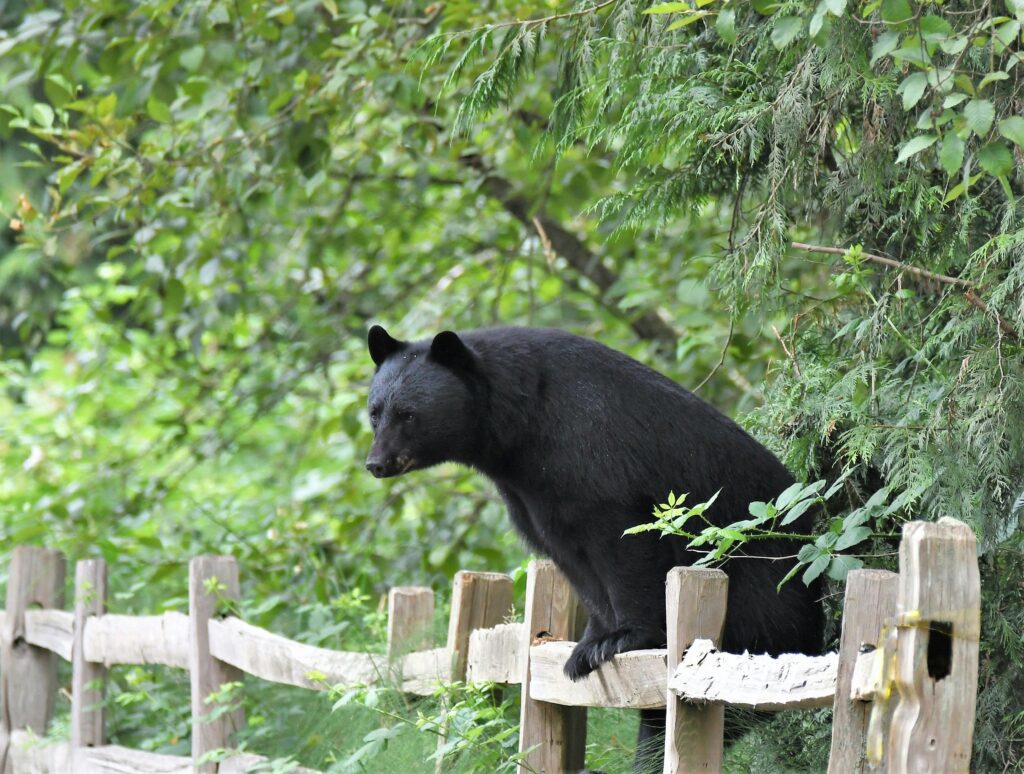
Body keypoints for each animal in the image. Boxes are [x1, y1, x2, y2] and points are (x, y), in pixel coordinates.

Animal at [365, 325, 823, 771]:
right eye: (374, 412)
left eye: (408, 414)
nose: (376, 463)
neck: (520, 427)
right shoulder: (531, 495)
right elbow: (573, 561)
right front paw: (586, 647)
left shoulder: (591, 452)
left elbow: (623, 541)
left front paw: (622, 638)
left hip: (761, 594)